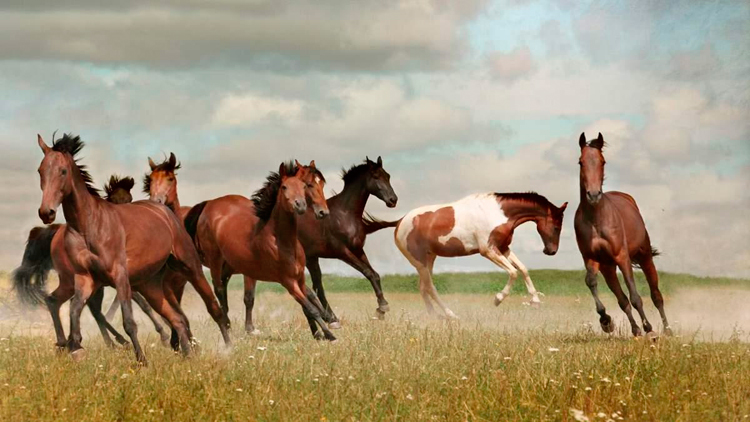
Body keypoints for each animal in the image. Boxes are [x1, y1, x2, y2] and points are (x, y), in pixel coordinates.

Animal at [13, 175, 171, 349]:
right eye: (114, 201)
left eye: (129, 199)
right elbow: (144, 304)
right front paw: (164, 334)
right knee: (89, 308)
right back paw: (112, 341)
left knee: (86, 307)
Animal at [183, 161, 337, 340]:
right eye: (284, 187)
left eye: (304, 186)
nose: (322, 212)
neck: (282, 241)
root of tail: (209, 205)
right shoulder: (287, 281)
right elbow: (309, 307)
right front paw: (328, 333)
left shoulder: (298, 278)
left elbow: (309, 299)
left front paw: (323, 328)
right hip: (215, 261)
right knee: (219, 290)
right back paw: (227, 325)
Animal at [373, 192, 567, 318]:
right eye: (557, 226)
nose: (551, 251)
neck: (498, 213)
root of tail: (400, 221)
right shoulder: (488, 250)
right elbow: (513, 272)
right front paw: (498, 299)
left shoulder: (503, 248)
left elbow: (523, 269)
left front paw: (535, 301)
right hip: (419, 262)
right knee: (430, 287)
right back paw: (450, 315)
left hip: (429, 259)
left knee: (423, 288)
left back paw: (434, 316)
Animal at [574, 132, 671, 337]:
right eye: (580, 162)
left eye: (602, 161)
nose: (593, 195)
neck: (596, 219)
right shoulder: (591, 258)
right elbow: (591, 282)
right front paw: (606, 321)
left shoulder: (622, 256)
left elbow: (635, 296)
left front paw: (649, 329)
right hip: (608, 268)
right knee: (622, 299)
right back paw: (635, 329)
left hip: (645, 257)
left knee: (656, 295)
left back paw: (667, 330)